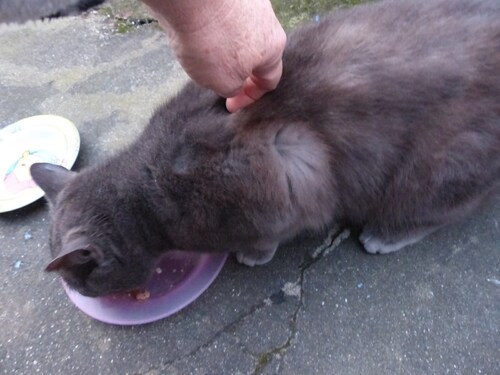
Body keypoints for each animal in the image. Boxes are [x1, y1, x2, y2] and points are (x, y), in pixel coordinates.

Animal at [30, 0, 500, 298]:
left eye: (81, 279)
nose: (80, 294)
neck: (148, 197)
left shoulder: (281, 180)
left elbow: (272, 230)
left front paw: (253, 254)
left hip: (436, 166)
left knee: (444, 207)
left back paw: (384, 235)